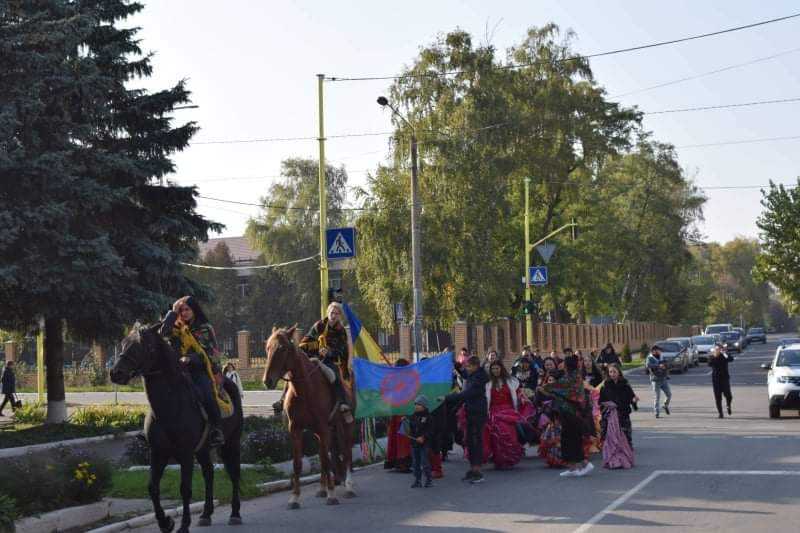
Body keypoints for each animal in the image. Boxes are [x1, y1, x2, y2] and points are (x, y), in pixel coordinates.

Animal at [262, 324, 356, 508]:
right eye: (267, 348)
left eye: (283, 348)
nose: (267, 381)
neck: (305, 390)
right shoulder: (296, 430)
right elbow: (298, 464)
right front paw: (294, 498)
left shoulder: (324, 428)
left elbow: (327, 461)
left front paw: (332, 495)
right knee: (325, 455)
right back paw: (322, 489)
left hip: (347, 426)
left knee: (347, 453)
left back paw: (348, 486)